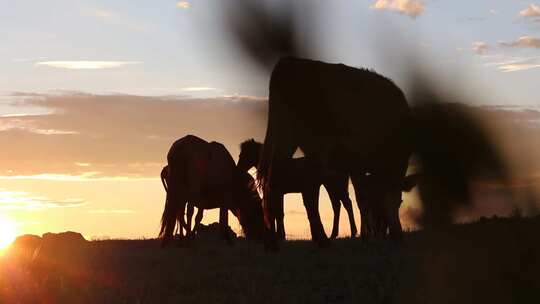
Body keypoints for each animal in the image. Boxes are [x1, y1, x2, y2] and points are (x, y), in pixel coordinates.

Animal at [258, 57, 418, 247]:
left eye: (402, 202)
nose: (395, 235)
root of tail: (289, 61)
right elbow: (364, 199)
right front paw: (369, 237)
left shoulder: (357, 165)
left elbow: (362, 198)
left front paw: (368, 236)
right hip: (311, 143)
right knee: (303, 191)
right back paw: (319, 239)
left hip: (289, 139)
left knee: (279, 183)